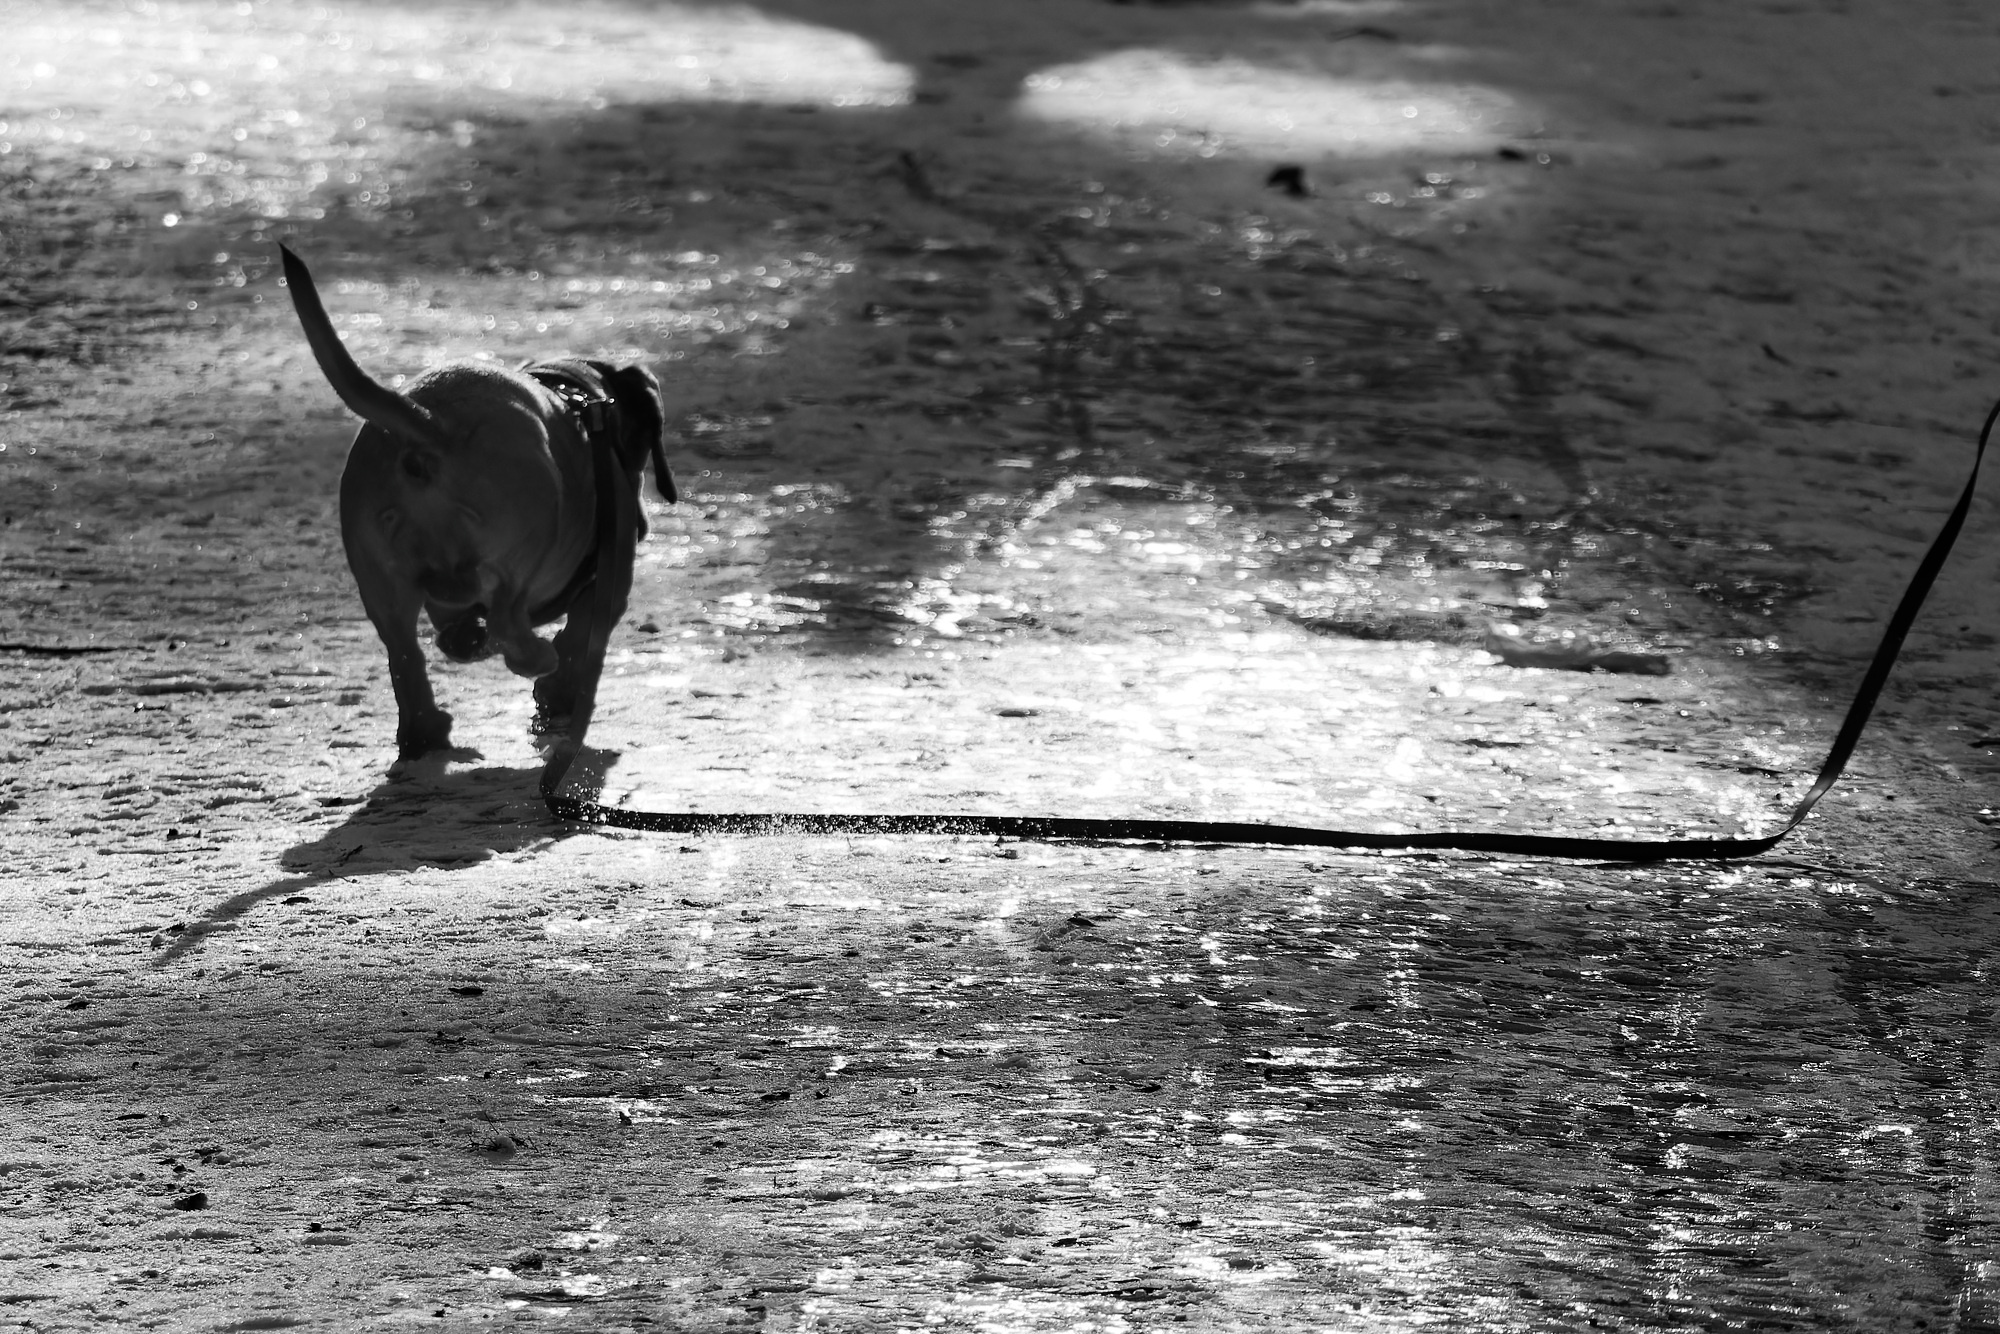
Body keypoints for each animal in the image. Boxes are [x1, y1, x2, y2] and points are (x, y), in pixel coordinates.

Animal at [279, 245, 677, 788]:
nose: (640, 523)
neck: (578, 397)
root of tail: (428, 423)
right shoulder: (608, 586)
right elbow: (580, 643)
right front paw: (559, 696)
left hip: (383, 588)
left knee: (407, 656)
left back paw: (427, 727)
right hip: (531, 536)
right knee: (509, 624)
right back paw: (530, 656)